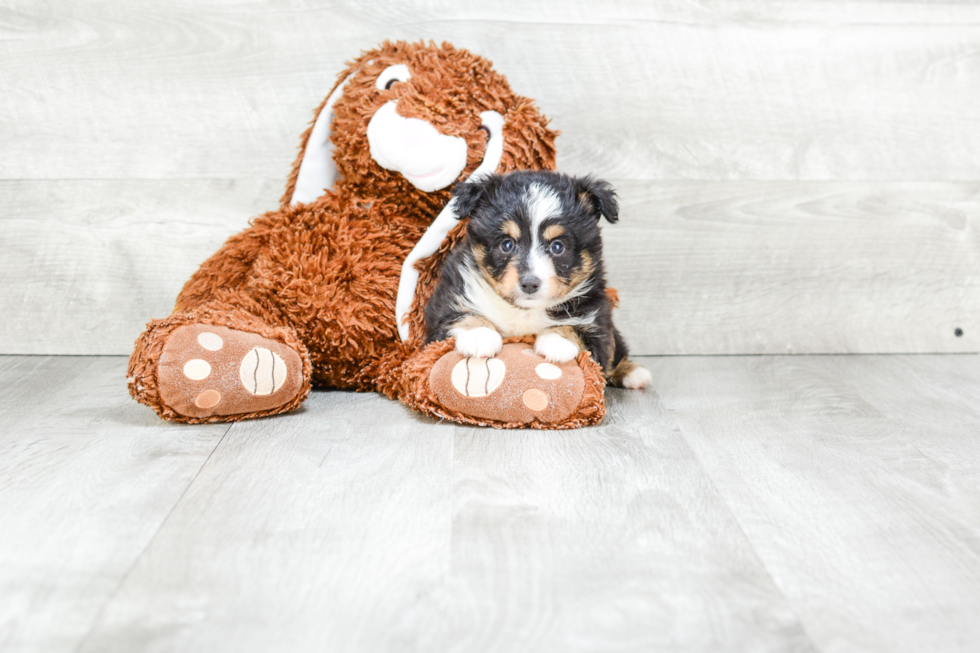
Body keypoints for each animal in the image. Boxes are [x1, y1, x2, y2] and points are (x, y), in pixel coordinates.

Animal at [426, 171, 652, 390]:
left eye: (557, 247)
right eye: (507, 244)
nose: (529, 284)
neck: (524, 311)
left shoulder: (598, 316)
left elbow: (582, 331)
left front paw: (557, 341)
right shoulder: (446, 302)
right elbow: (459, 315)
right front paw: (479, 335)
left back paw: (633, 373)